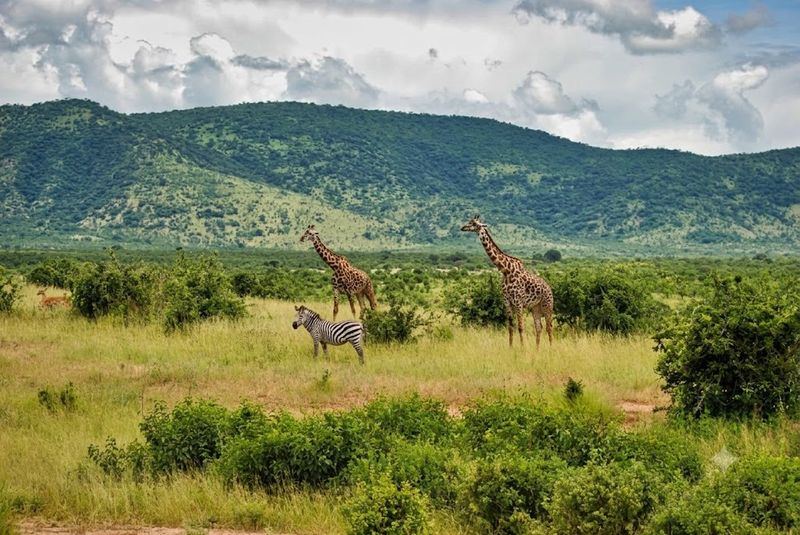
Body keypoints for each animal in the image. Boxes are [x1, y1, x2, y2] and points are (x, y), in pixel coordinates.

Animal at [460, 215, 554, 349]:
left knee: (549, 327)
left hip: (547, 305)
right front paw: (511, 348)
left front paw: (523, 348)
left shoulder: (518, 302)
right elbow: (510, 327)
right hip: (535, 307)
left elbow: (520, 327)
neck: (506, 270)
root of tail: (549, 288)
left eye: (474, 223)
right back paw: (537, 350)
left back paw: (551, 348)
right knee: (539, 327)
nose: (462, 227)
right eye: (469, 221)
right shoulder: (507, 302)